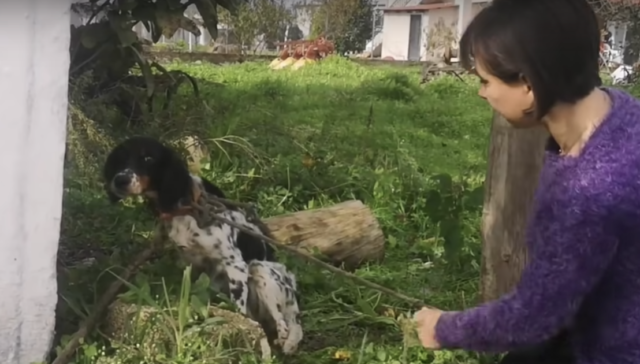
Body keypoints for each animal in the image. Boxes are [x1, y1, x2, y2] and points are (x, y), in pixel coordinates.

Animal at [104, 136, 304, 352]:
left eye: (148, 158)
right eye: (120, 158)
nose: (119, 180)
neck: (187, 206)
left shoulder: (235, 265)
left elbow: (239, 307)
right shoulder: (191, 265)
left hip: (261, 270)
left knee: (283, 323)